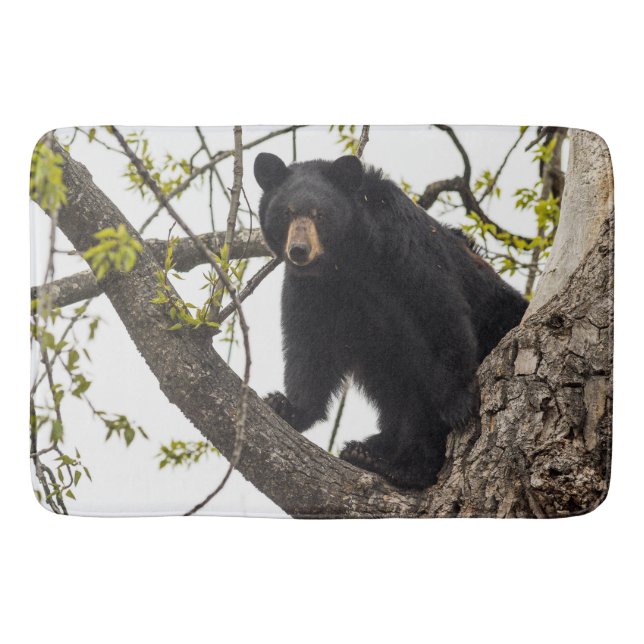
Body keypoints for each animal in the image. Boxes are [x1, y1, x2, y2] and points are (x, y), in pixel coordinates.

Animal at [254, 152, 528, 489]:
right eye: (286, 213)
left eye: (320, 215)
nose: (299, 251)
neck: (350, 261)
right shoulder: (313, 289)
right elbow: (310, 345)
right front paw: (287, 406)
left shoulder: (405, 252)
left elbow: (439, 315)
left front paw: (458, 404)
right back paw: (369, 451)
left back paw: (403, 465)